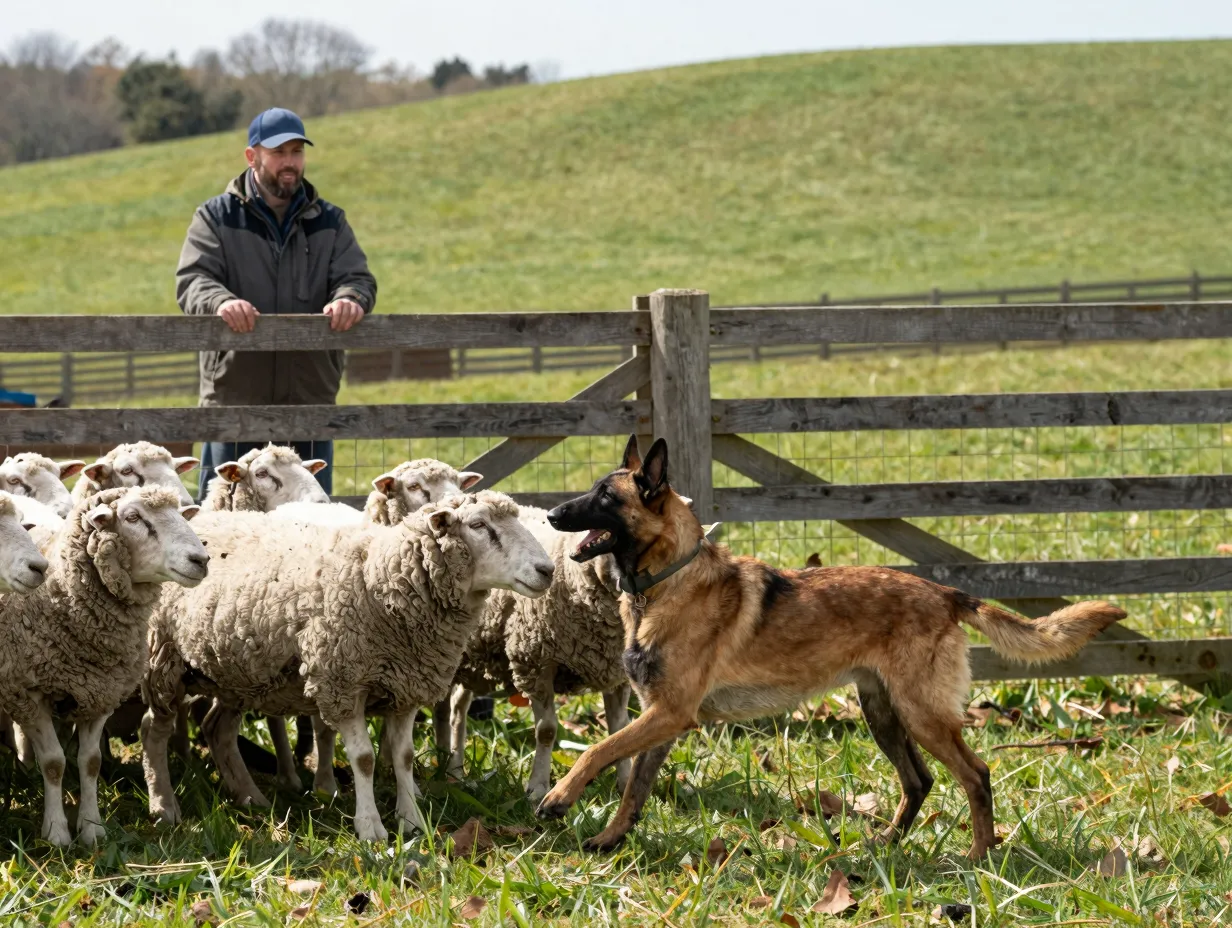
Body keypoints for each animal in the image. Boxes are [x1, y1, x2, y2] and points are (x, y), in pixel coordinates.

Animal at [0, 486, 209, 845]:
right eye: (133, 517)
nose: (201, 560)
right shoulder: (29, 693)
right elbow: (53, 762)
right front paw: (56, 833)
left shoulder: (100, 693)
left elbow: (91, 762)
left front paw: (91, 828)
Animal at [141, 491, 554, 841]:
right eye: (479, 525)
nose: (547, 569)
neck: (380, 578)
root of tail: (204, 518)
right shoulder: (342, 682)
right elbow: (365, 758)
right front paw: (370, 827)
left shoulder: (405, 686)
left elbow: (403, 757)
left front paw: (411, 821)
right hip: (163, 662)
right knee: (153, 731)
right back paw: (165, 807)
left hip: (239, 674)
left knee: (218, 730)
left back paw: (250, 797)